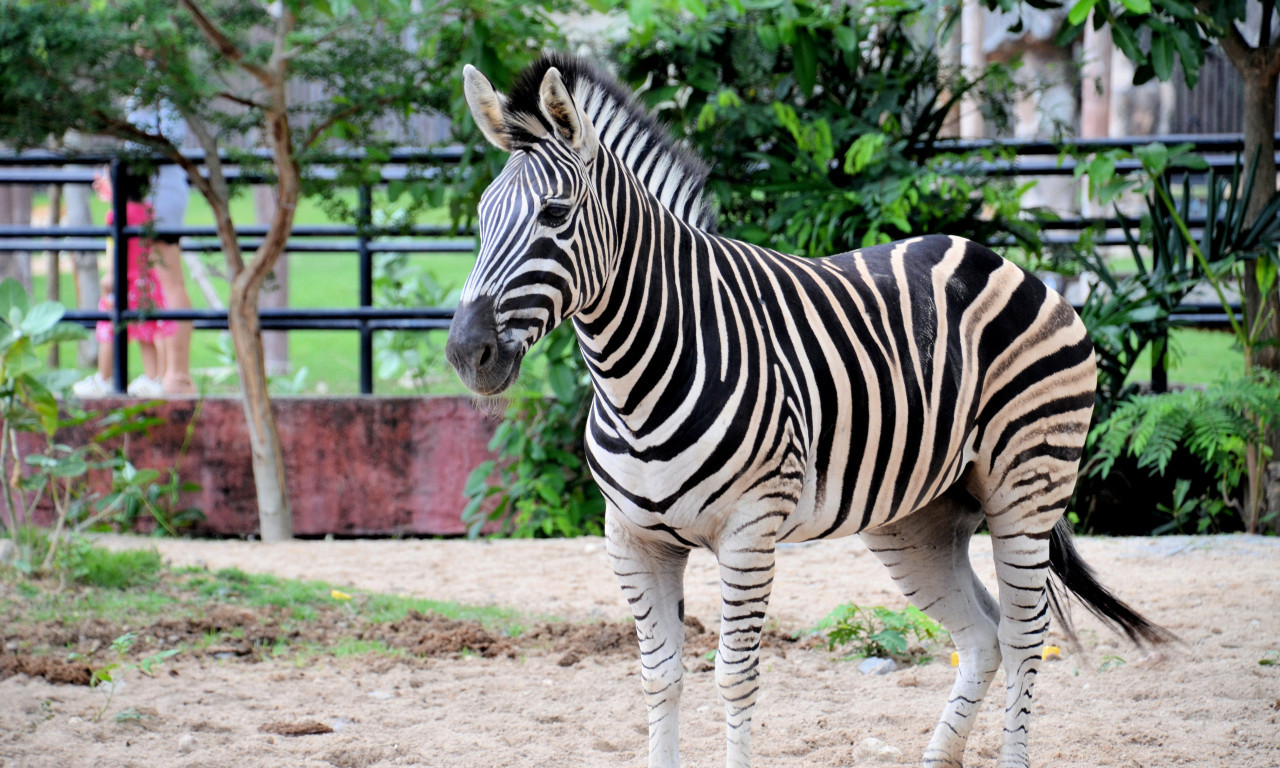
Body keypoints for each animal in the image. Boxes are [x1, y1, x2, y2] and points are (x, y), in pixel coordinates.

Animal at [448, 50, 1172, 762]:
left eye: (555, 215)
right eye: (481, 220)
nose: (464, 352)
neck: (637, 381)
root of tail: (996, 258)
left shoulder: (748, 532)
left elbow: (734, 677)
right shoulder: (632, 538)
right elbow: (659, 676)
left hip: (1026, 489)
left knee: (1024, 641)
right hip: (919, 518)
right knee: (983, 637)